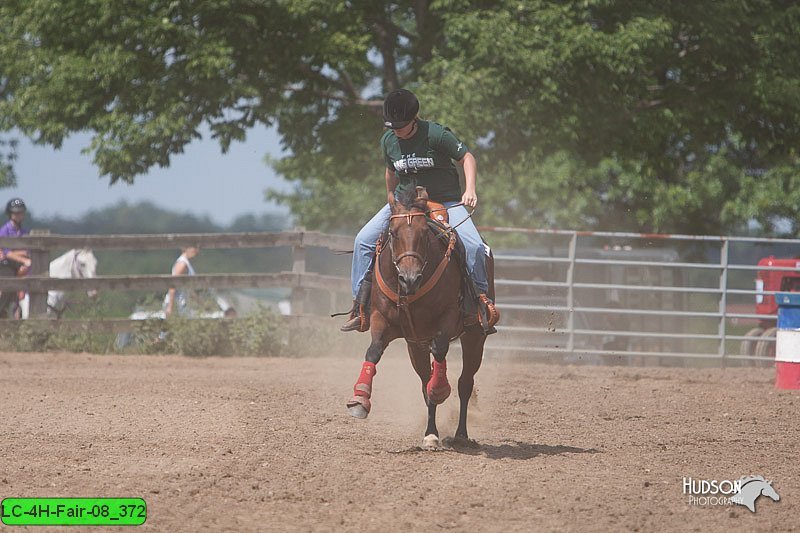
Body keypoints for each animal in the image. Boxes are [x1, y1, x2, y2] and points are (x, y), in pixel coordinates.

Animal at [348, 189, 490, 446]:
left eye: (424, 234)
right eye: (393, 233)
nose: (409, 278)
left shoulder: (449, 316)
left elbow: (441, 350)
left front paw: (440, 389)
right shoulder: (382, 319)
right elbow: (373, 351)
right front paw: (360, 398)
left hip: (474, 337)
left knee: (464, 383)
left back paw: (460, 434)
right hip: (416, 344)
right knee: (425, 383)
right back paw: (431, 433)